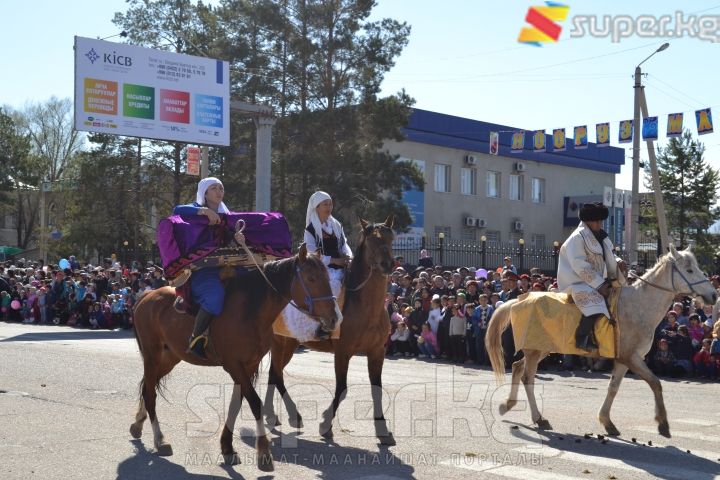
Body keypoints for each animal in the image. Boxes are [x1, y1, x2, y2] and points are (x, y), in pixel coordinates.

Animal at [129, 246, 340, 470]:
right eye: (311, 278)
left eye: (327, 277)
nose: (333, 318)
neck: (250, 312)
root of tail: (147, 295)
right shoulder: (234, 365)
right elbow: (254, 402)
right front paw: (263, 452)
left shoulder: (249, 365)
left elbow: (235, 404)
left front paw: (227, 448)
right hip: (152, 354)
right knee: (150, 393)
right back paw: (159, 439)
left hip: (170, 357)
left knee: (147, 386)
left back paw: (138, 423)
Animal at [260, 218, 396, 446]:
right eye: (372, 240)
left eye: (390, 238)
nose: (388, 264)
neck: (367, 306)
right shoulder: (343, 352)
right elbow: (342, 388)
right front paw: (325, 425)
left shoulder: (377, 352)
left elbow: (376, 388)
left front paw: (383, 430)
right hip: (279, 343)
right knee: (276, 374)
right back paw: (292, 416)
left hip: (290, 344)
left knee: (273, 374)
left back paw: (272, 415)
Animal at [486, 248, 716, 438]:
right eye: (689, 270)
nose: (713, 295)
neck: (639, 306)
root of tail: (520, 299)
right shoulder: (631, 357)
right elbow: (655, 383)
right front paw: (663, 424)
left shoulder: (625, 360)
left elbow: (613, 387)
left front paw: (607, 422)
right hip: (535, 350)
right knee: (527, 377)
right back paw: (539, 418)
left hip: (541, 348)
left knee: (517, 367)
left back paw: (508, 404)